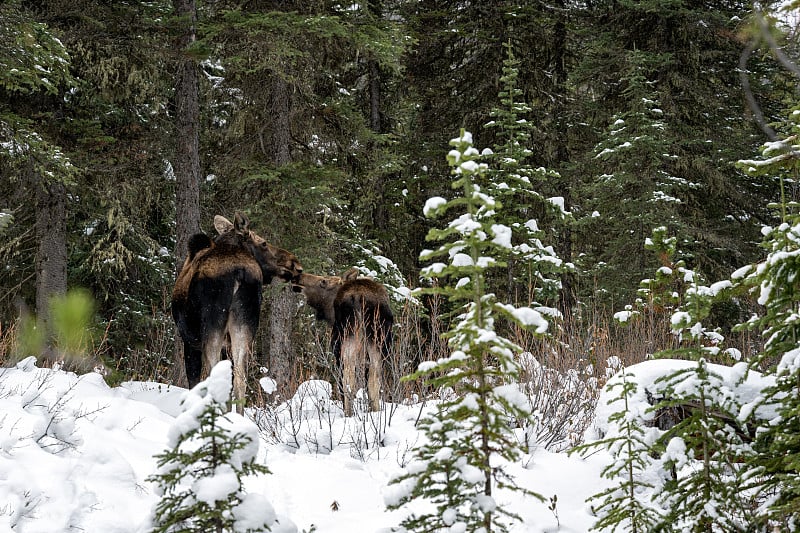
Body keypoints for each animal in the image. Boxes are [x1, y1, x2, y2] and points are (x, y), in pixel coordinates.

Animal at [172, 212, 304, 412]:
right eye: (264, 243)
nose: (296, 265)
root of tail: (239, 272)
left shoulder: (189, 341)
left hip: (212, 327)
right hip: (244, 326)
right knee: (240, 381)